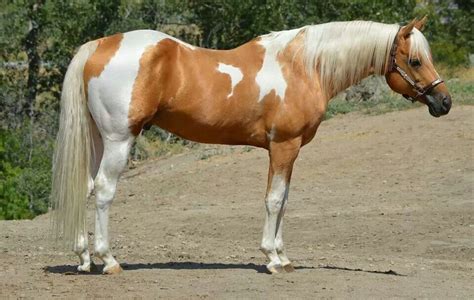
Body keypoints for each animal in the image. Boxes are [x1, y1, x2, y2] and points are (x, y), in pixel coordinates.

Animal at [51, 16, 452, 274]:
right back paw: (108, 260)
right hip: (119, 140)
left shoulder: (286, 150)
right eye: (415, 60)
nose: (444, 103)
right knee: (105, 190)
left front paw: (283, 256)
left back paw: (84, 259)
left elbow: (284, 200)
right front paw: (273, 260)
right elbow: (274, 200)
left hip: (98, 140)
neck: (303, 67)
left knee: (86, 187)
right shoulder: (285, 146)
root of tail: (102, 45)